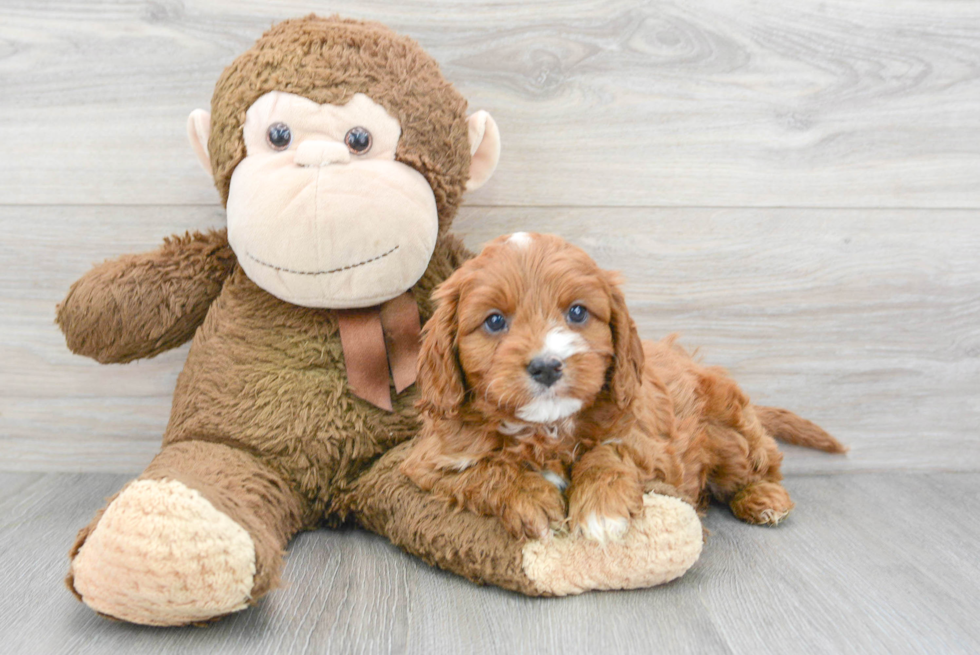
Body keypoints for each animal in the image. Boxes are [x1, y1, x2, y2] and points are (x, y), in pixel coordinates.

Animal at [398, 233, 844, 540]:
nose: (546, 366)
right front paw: (531, 496)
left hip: (729, 428)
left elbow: (610, 452)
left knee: (759, 464)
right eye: (494, 321)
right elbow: (485, 470)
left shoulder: (650, 443)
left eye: (578, 312)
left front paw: (601, 507)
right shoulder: (429, 462)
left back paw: (763, 498)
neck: (548, 428)